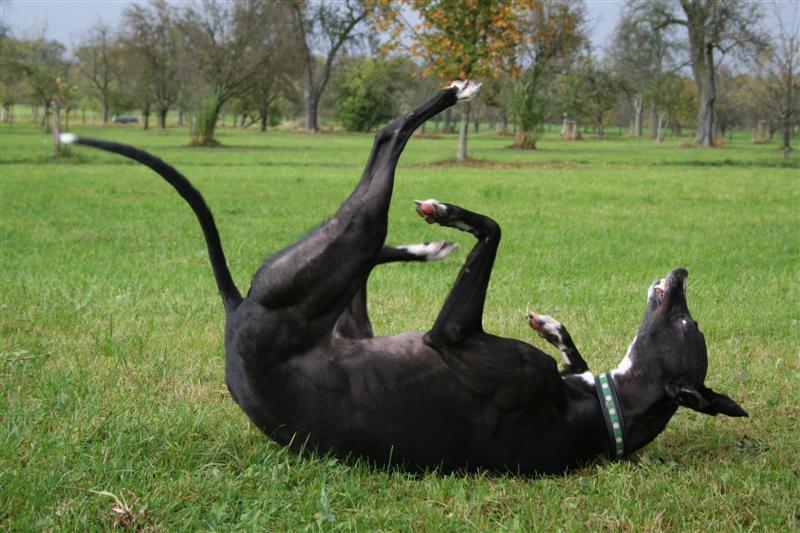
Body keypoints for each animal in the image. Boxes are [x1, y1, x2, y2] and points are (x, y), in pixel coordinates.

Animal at [61, 80, 747, 475]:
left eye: (686, 321)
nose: (681, 272)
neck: (600, 413)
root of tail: (238, 312)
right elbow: (561, 335)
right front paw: (554, 327)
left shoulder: (453, 337)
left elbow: (493, 230)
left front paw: (453, 212)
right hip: (348, 309)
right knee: (372, 256)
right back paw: (424, 246)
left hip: (331, 256)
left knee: (383, 144)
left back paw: (450, 112)